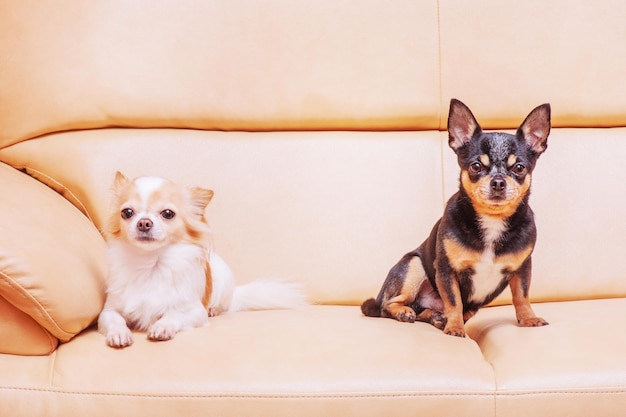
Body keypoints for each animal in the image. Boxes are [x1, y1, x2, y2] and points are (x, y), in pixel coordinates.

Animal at [97, 171, 308, 346]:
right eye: (127, 212)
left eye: (168, 214)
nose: (144, 223)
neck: (151, 263)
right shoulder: (109, 311)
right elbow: (115, 319)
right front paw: (119, 333)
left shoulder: (194, 311)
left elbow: (174, 314)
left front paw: (162, 326)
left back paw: (214, 309)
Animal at [358, 99, 548, 336]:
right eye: (476, 166)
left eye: (519, 168)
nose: (498, 182)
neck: (492, 221)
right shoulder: (447, 270)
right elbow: (454, 301)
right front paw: (455, 328)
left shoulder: (522, 269)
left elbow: (521, 296)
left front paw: (528, 318)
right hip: (413, 267)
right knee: (388, 304)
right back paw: (406, 312)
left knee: (429, 312)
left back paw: (436, 317)